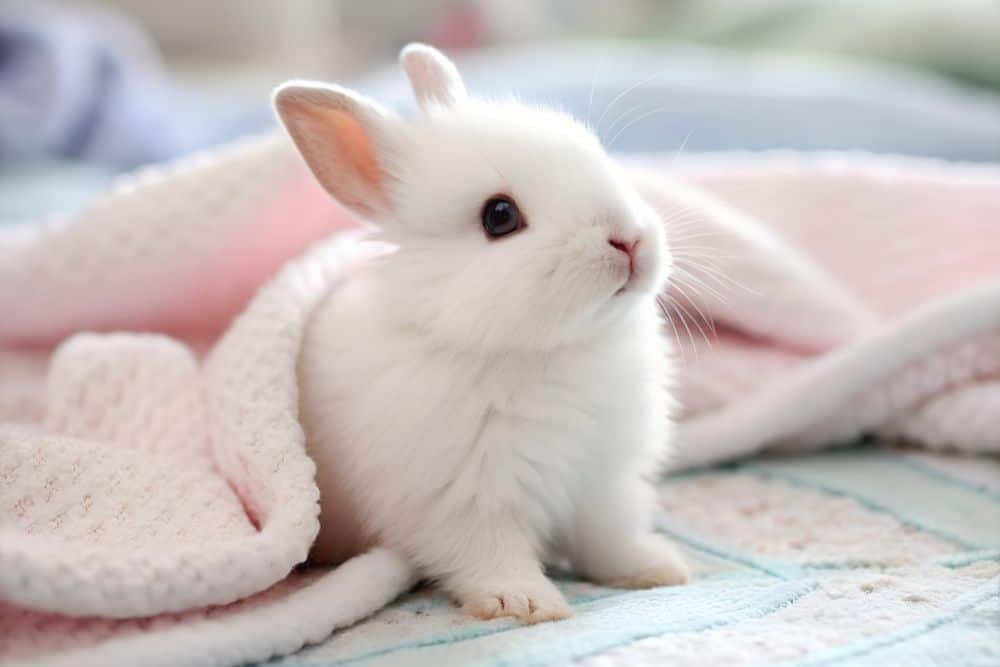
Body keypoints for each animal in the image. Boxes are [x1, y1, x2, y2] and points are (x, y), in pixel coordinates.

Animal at [277, 43, 689, 625]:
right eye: (499, 216)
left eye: (597, 154)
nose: (628, 240)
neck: (546, 352)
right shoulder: (464, 500)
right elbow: (490, 555)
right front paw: (524, 603)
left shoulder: (601, 482)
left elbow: (608, 538)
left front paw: (656, 568)